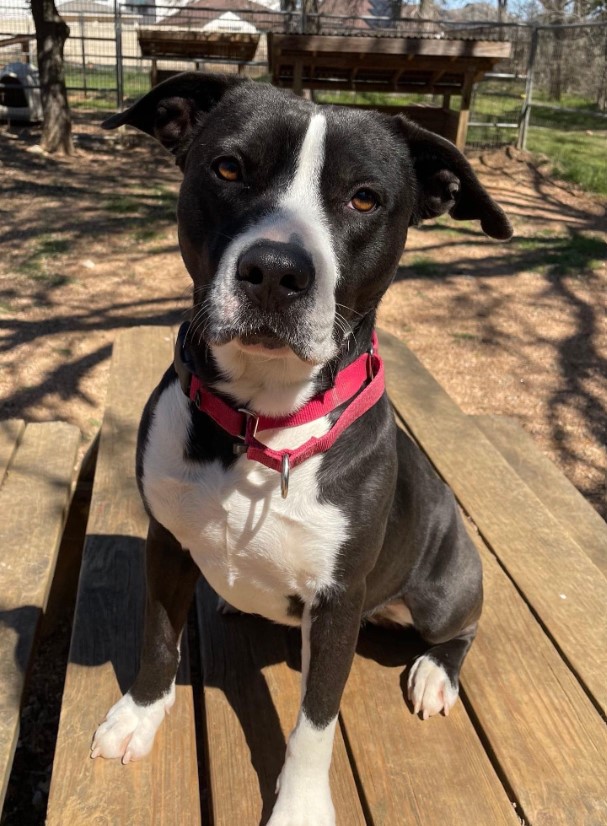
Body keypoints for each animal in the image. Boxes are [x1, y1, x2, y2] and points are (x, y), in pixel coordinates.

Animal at [91, 72, 512, 824]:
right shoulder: (166, 542)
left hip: (444, 588)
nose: (275, 270)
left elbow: (315, 723)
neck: (260, 425)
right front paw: (137, 717)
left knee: (462, 627)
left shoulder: (338, 602)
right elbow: (157, 638)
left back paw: (436, 674)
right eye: (229, 167)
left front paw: (300, 807)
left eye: (364, 197)